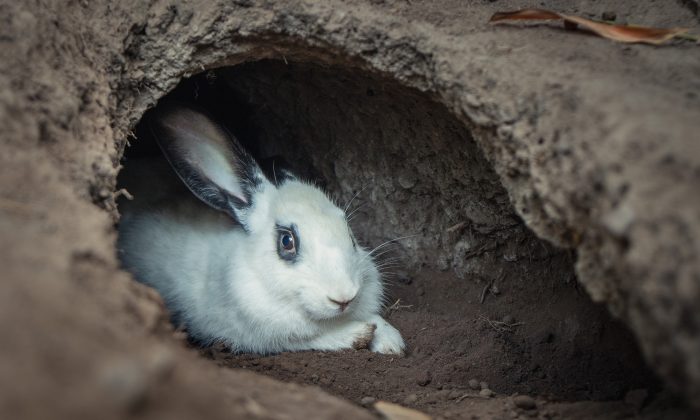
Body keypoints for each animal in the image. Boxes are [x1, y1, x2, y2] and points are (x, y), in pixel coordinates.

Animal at [117, 103, 405, 355]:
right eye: (287, 241)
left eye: (349, 233)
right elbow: (314, 338)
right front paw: (362, 334)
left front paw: (391, 341)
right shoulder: (262, 337)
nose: (344, 297)